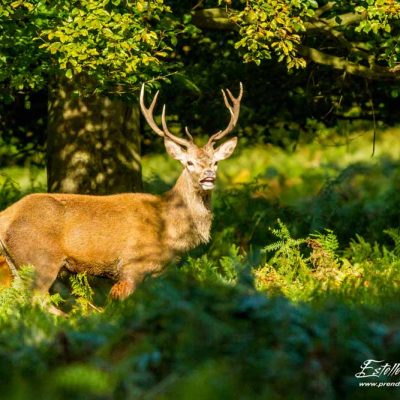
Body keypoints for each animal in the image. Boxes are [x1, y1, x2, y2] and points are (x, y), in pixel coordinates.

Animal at [0, 83, 244, 300]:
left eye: (215, 162)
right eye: (189, 163)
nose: (208, 177)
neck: (168, 228)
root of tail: (6, 216)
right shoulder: (132, 265)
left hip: (16, 266)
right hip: (40, 259)